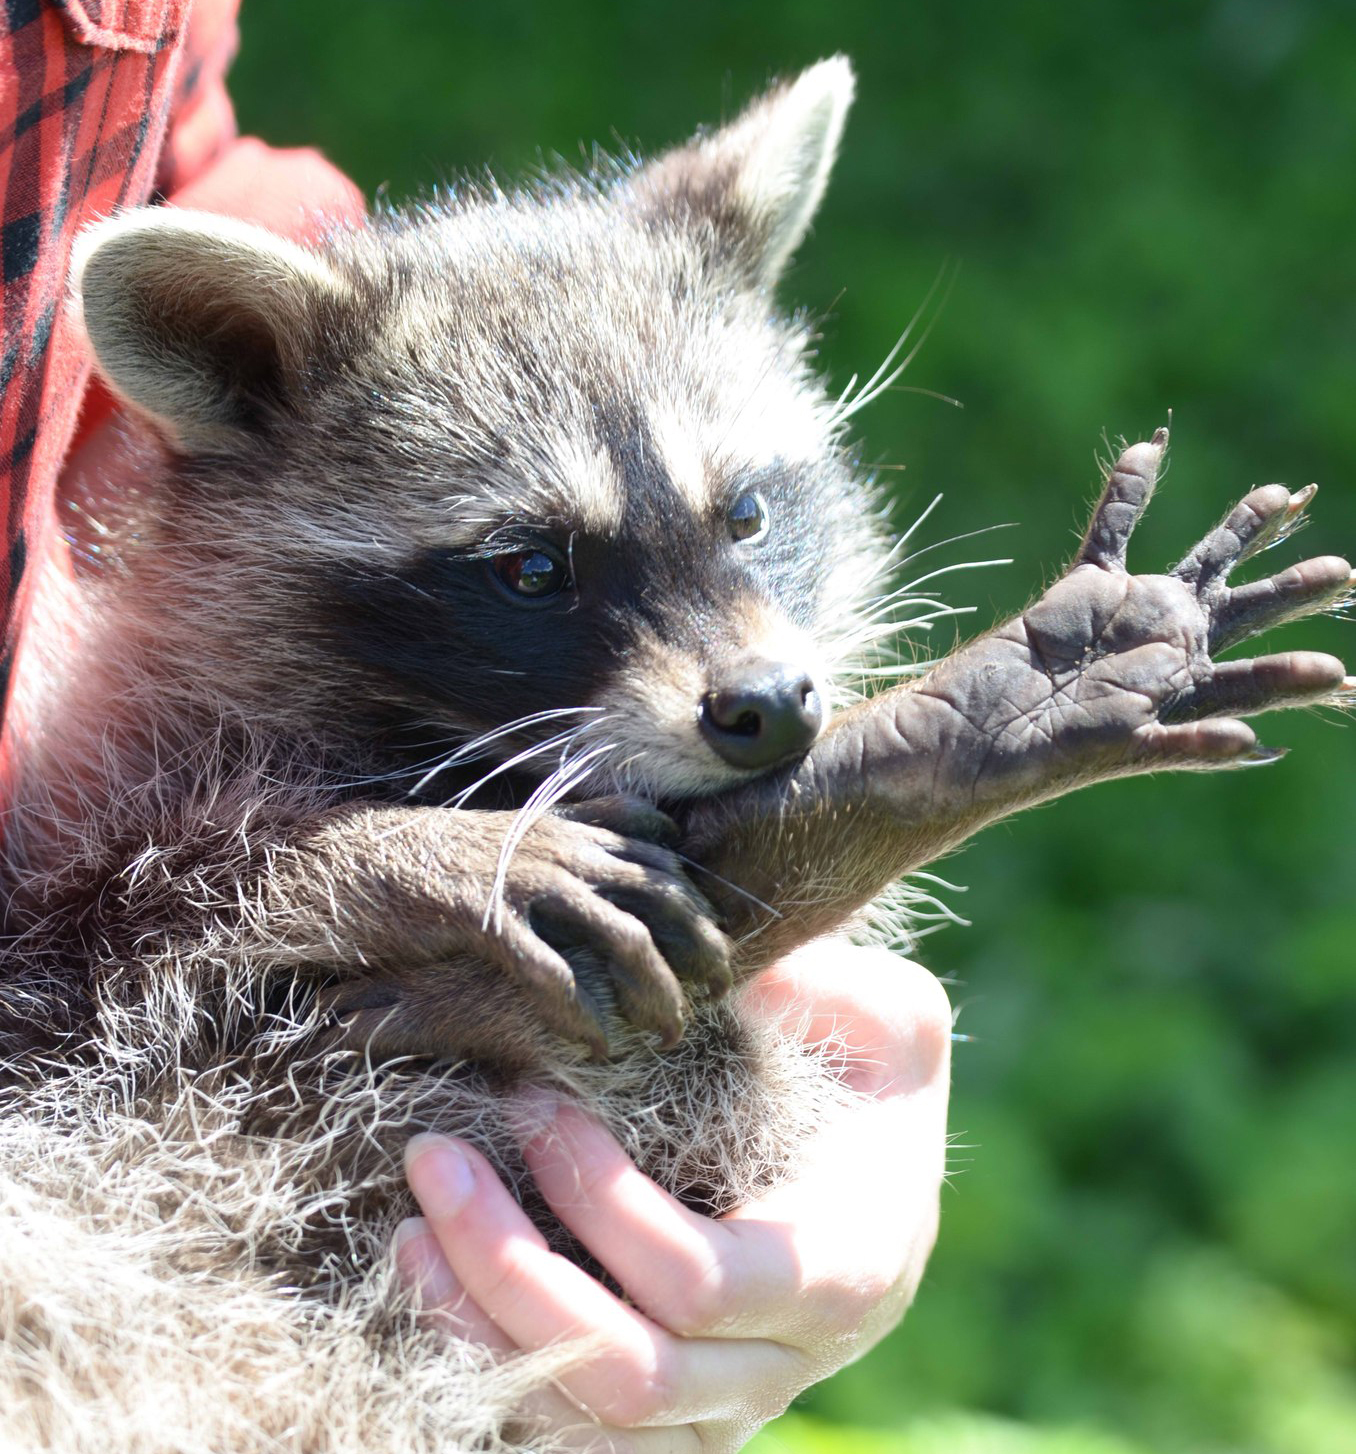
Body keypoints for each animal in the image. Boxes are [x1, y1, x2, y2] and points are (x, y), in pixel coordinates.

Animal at [0, 53, 1348, 1454]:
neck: (442, 749)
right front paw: (406, 855)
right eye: (533, 568)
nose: (773, 709)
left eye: (746, 512)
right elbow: (161, 906)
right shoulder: (87, 873)